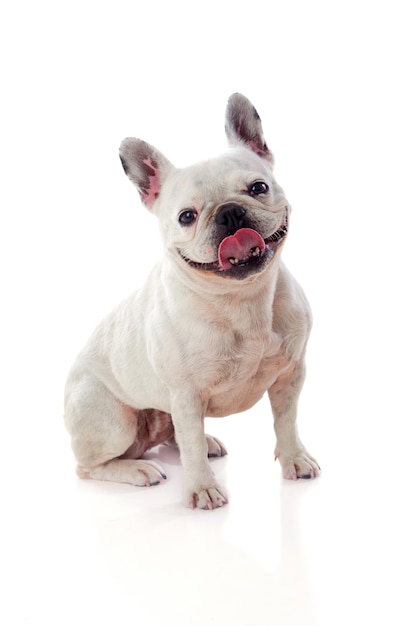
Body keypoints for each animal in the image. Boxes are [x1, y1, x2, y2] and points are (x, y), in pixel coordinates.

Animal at [65, 91, 322, 508]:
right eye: (187, 216)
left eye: (258, 188)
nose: (230, 213)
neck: (241, 298)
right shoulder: (187, 396)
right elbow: (192, 447)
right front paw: (202, 488)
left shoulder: (290, 374)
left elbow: (286, 420)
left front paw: (294, 458)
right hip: (115, 422)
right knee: (91, 466)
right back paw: (138, 469)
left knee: (177, 438)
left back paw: (206, 440)